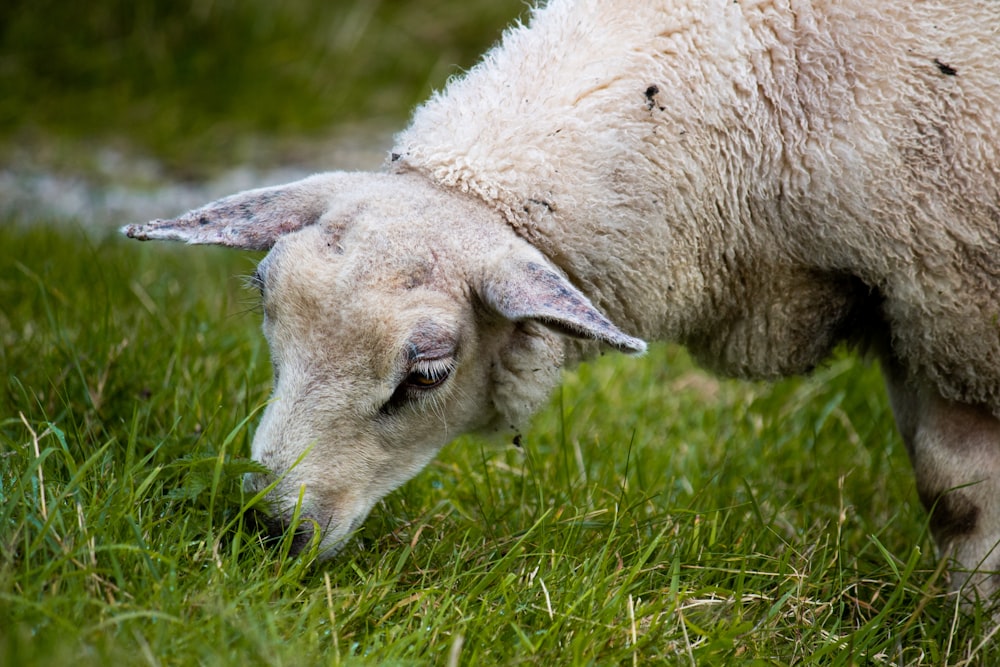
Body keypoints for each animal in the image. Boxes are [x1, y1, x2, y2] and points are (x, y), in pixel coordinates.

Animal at [123, 0, 1000, 600]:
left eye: (427, 374)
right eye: (267, 310)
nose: (274, 528)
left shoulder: (948, 305)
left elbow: (959, 496)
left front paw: (964, 625)